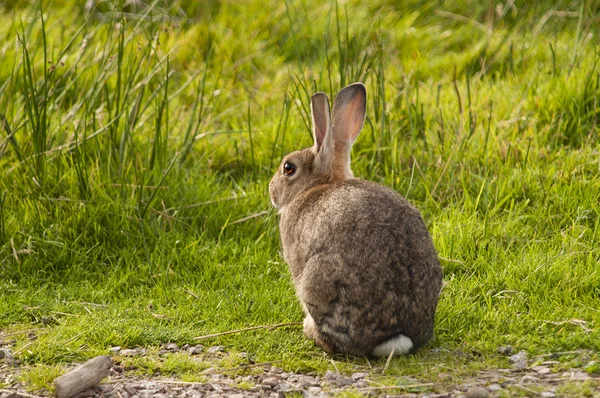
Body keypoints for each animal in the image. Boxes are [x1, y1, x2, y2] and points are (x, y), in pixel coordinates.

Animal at [270, 82, 442, 356]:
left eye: (288, 168)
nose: (271, 192)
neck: (318, 185)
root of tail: (395, 335)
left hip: (317, 282)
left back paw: (310, 331)